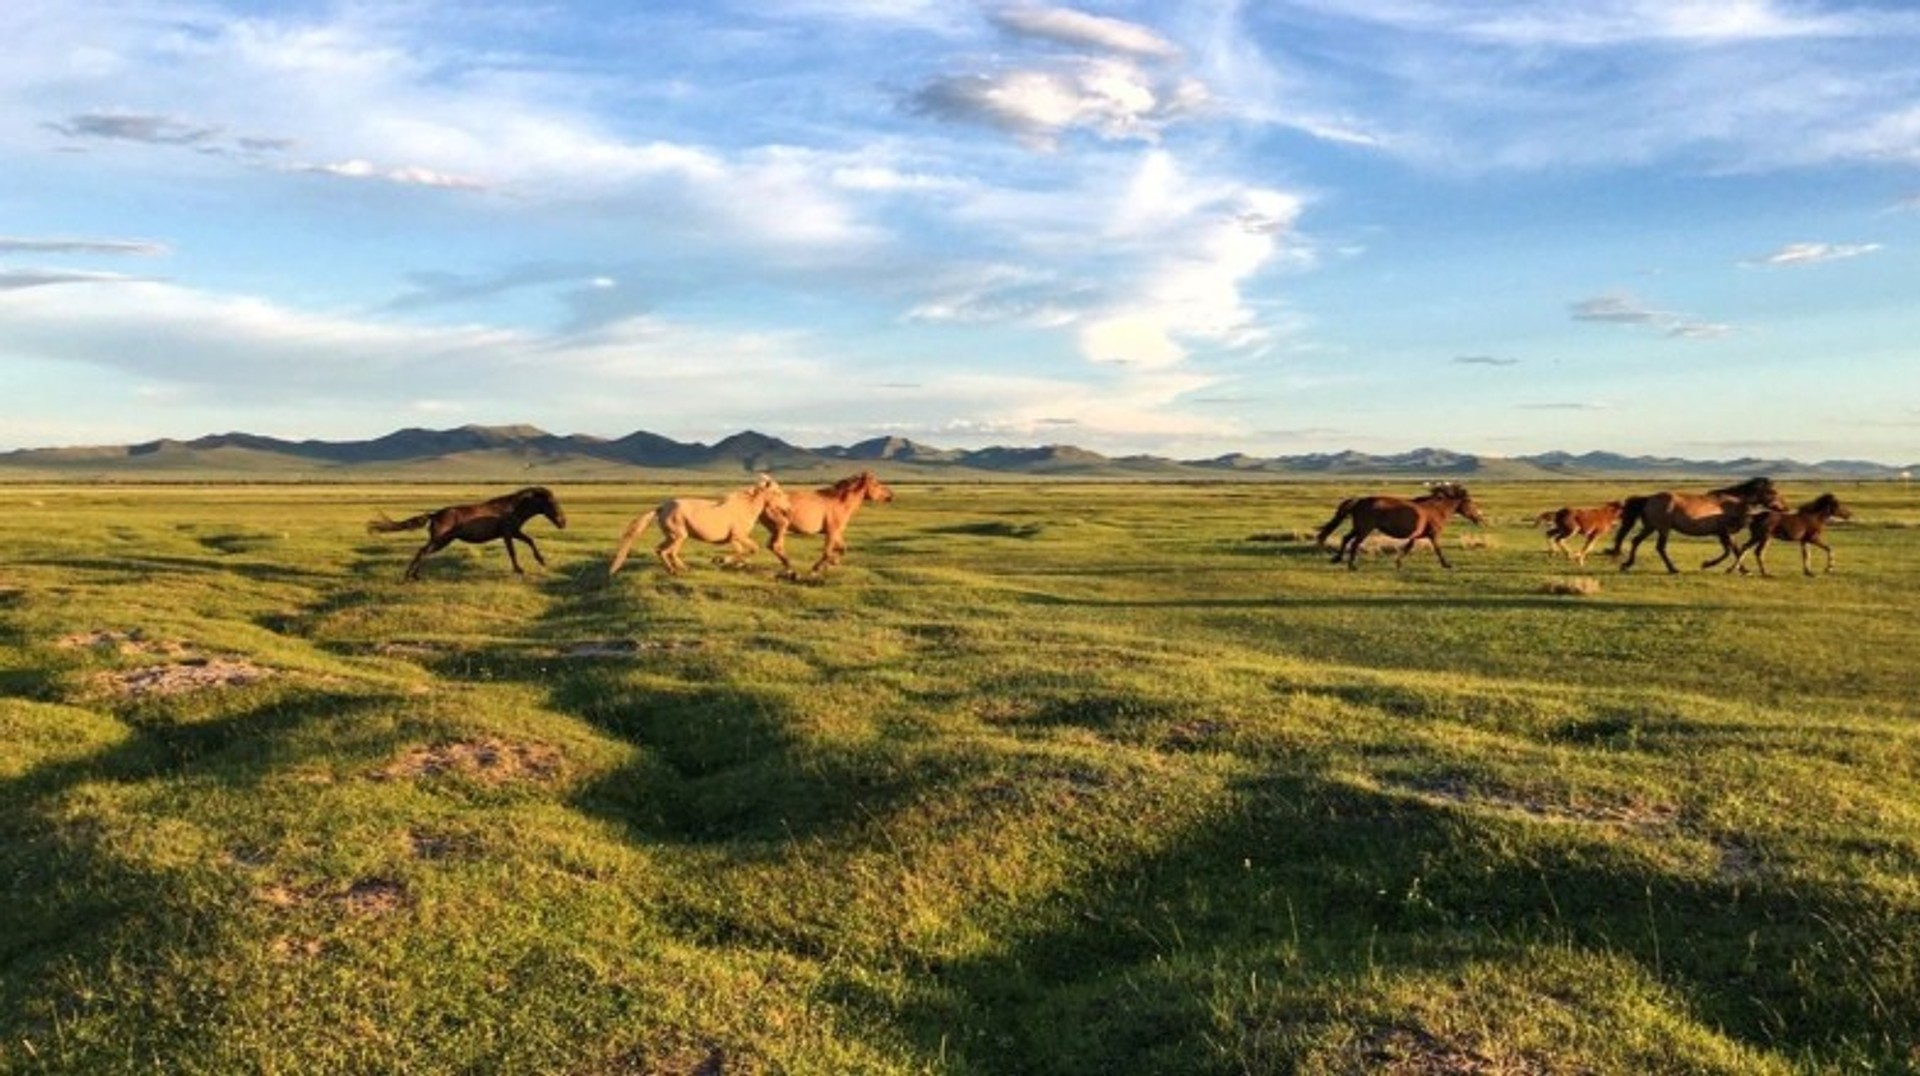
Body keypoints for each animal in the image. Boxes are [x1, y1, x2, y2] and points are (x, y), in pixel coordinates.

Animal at [366, 486, 566, 581]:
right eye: (551, 503)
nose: (563, 523)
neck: (512, 508)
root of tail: (434, 514)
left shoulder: (515, 532)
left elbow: (530, 541)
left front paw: (541, 561)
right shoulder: (507, 534)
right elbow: (513, 552)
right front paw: (519, 570)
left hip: (442, 541)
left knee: (422, 552)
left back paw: (414, 576)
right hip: (440, 540)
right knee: (422, 551)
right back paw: (410, 576)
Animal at [608, 474, 788, 576]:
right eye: (777, 492)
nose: (787, 508)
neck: (746, 507)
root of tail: (661, 507)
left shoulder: (735, 539)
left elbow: (743, 552)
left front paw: (732, 562)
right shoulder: (738, 536)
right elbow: (751, 549)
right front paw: (721, 560)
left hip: (671, 535)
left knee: (659, 550)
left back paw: (672, 569)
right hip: (679, 535)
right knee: (669, 552)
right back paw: (680, 569)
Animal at [761, 470, 895, 577]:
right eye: (876, 484)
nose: (891, 495)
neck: (840, 502)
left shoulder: (837, 533)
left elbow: (842, 548)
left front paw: (833, 562)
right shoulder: (831, 532)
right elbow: (827, 553)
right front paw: (816, 569)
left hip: (777, 530)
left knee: (774, 546)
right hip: (781, 527)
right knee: (775, 546)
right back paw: (791, 571)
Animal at [1314, 482, 1486, 570]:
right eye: (1470, 503)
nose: (1479, 519)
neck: (1437, 510)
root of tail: (1360, 501)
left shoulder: (1416, 536)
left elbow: (1408, 548)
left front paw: (1398, 563)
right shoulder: (1433, 535)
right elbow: (1438, 550)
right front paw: (1447, 565)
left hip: (1358, 528)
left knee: (1346, 538)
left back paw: (1337, 559)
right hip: (1365, 529)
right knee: (1355, 543)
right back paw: (1352, 565)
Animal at [1607, 476, 1787, 573]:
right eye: (1773, 492)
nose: (1785, 508)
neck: (1732, 503)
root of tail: (1649, 499)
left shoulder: (1724, 534)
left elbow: (1735, 550)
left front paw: (1743, 570)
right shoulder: (1724, 532)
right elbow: (1729, 551)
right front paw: (1707, 564)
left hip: (1650, 527)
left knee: (1636, 541)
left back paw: (1627, 564)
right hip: (1663, 529)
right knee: (1660, 548)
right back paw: (1673, 569)